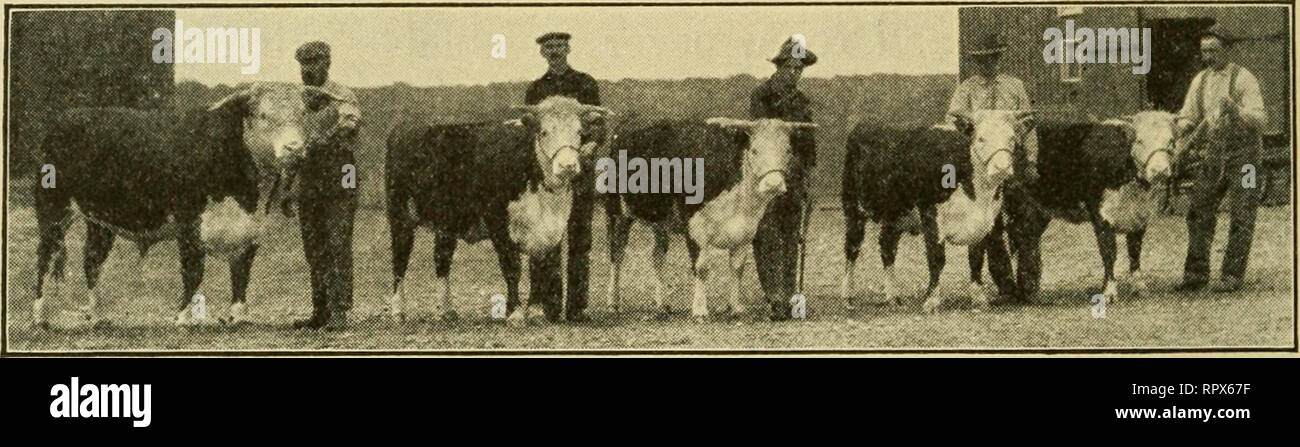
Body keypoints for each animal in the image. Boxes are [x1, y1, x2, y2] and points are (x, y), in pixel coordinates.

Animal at [33, 82, 345, 328]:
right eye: (263, 115)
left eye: (303, 114)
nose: (294, 148)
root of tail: (67, 117)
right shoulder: (189, 223)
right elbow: (193, 270)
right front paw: (183, 317)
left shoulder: (252, 229)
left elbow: (241, 273)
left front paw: (239, 316)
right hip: (53, 209)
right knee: (45, 257)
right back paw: (40, 317)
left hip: (100, 220)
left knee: (92, 260)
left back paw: (98, 316)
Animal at [382, 94, 611, 324]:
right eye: (544, 132)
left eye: (579, 132)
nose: (567, 166)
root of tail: (405, 127)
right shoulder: (497, 222)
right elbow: (512, 267)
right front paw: (515, 312)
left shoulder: (547, 230)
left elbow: (539, 266)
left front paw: (536, 311)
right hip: (400, 215)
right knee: (399, 261)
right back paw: (398, 311)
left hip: (447, 222)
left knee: (441, 259)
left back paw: (446, 310)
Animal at [605, 117, 816, 320]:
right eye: (755, 150)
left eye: (787, 150)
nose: (774, 184)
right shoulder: (696, 228)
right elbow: (702, 268)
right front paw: (700, 311)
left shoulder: (745, 231)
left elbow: (737, 268)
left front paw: (735, 308)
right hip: (618, 213)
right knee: (617, 254)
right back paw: (613, 302)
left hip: (661, 221)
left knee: (657, 257)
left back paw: (662, 305)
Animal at [842, 109, 1034, 313]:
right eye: (981, 138)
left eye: (1012, 138)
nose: (1002, 168)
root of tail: (865, 123)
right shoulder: (931, 215)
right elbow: (936, 258)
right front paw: (932, 300)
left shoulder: (983, 223)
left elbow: (976, 258)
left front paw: (978, 296)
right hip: (852, 206)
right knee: (852, 248)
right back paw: (848, 296)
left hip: (896, 214)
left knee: (887, 247)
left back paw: (892, 296)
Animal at [998, 111, 1185, 304]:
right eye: (1139, 141)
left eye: (1171, 141)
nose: (1159, 171)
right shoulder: (1101, 215)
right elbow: (1109, 253)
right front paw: (1109, 292)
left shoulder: (1140, 217)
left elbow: (1134, 252)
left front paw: (1139, 286)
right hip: (1019, 203)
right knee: (1020, 237)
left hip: (1037, 209)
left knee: (1027, 238)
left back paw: (1030, 290)